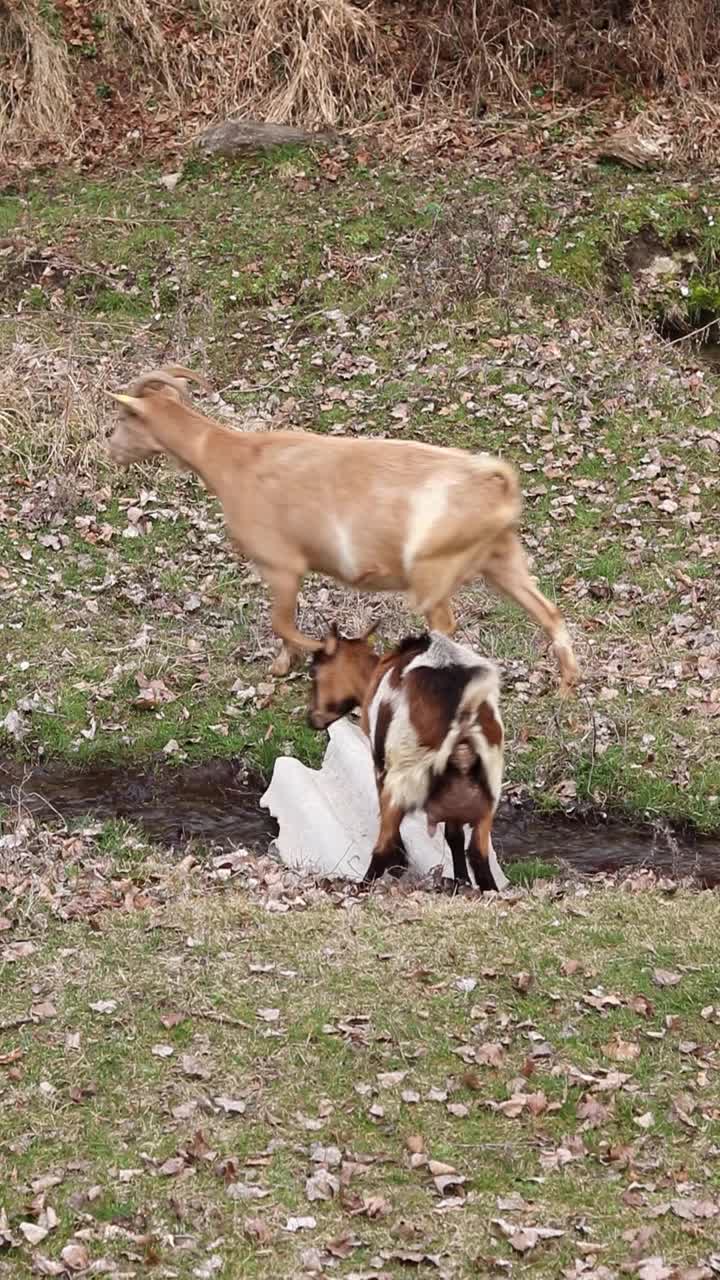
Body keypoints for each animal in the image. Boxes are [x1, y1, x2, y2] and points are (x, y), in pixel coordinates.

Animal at [106, 368, 576, 691]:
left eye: (123, 416)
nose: (109, 446)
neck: (233, 458)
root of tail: (496, 487)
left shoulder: (281, 565)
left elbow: (282, 622)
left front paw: (309, 655)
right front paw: (285, 664)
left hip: (433, 572)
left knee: (446, 626)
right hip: (501, 560)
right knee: (548, 612)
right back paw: (567, 686)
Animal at [308, 622, 504, 885]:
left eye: (313, 670)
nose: (312, 718)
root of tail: (463, 718)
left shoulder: (381, 767)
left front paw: (400, 863)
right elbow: (455, 837)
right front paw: (460, 881)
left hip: (403, 777)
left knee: (383, 845)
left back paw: (364, 884)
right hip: (487, 794)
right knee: (478, 855)